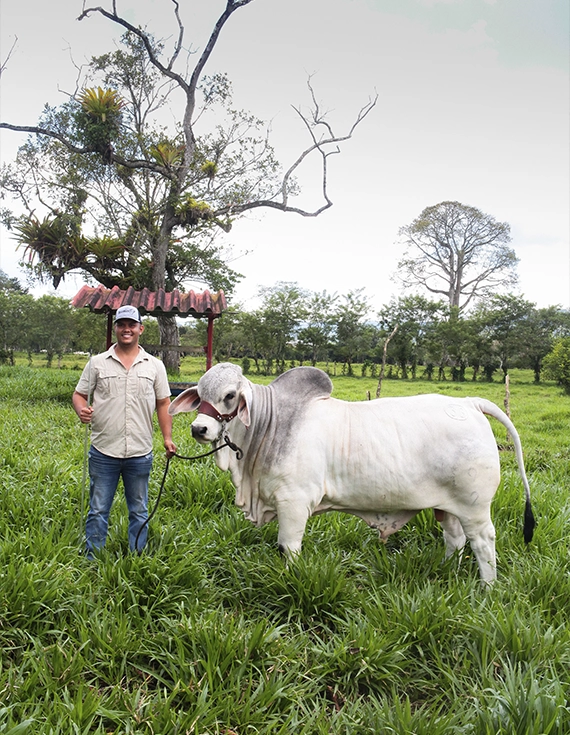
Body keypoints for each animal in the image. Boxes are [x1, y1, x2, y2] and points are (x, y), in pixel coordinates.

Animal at [169, 362, 532, 580]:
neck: (269, 423)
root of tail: (470, 402)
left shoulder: (294, 502)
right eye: (200, 394)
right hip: (448, 506)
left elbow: (288, 547)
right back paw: (444, 571)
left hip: (474, 506)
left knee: (483, 543)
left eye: (230, 395)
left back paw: (487, 588)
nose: (199, 429)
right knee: (454, 539)